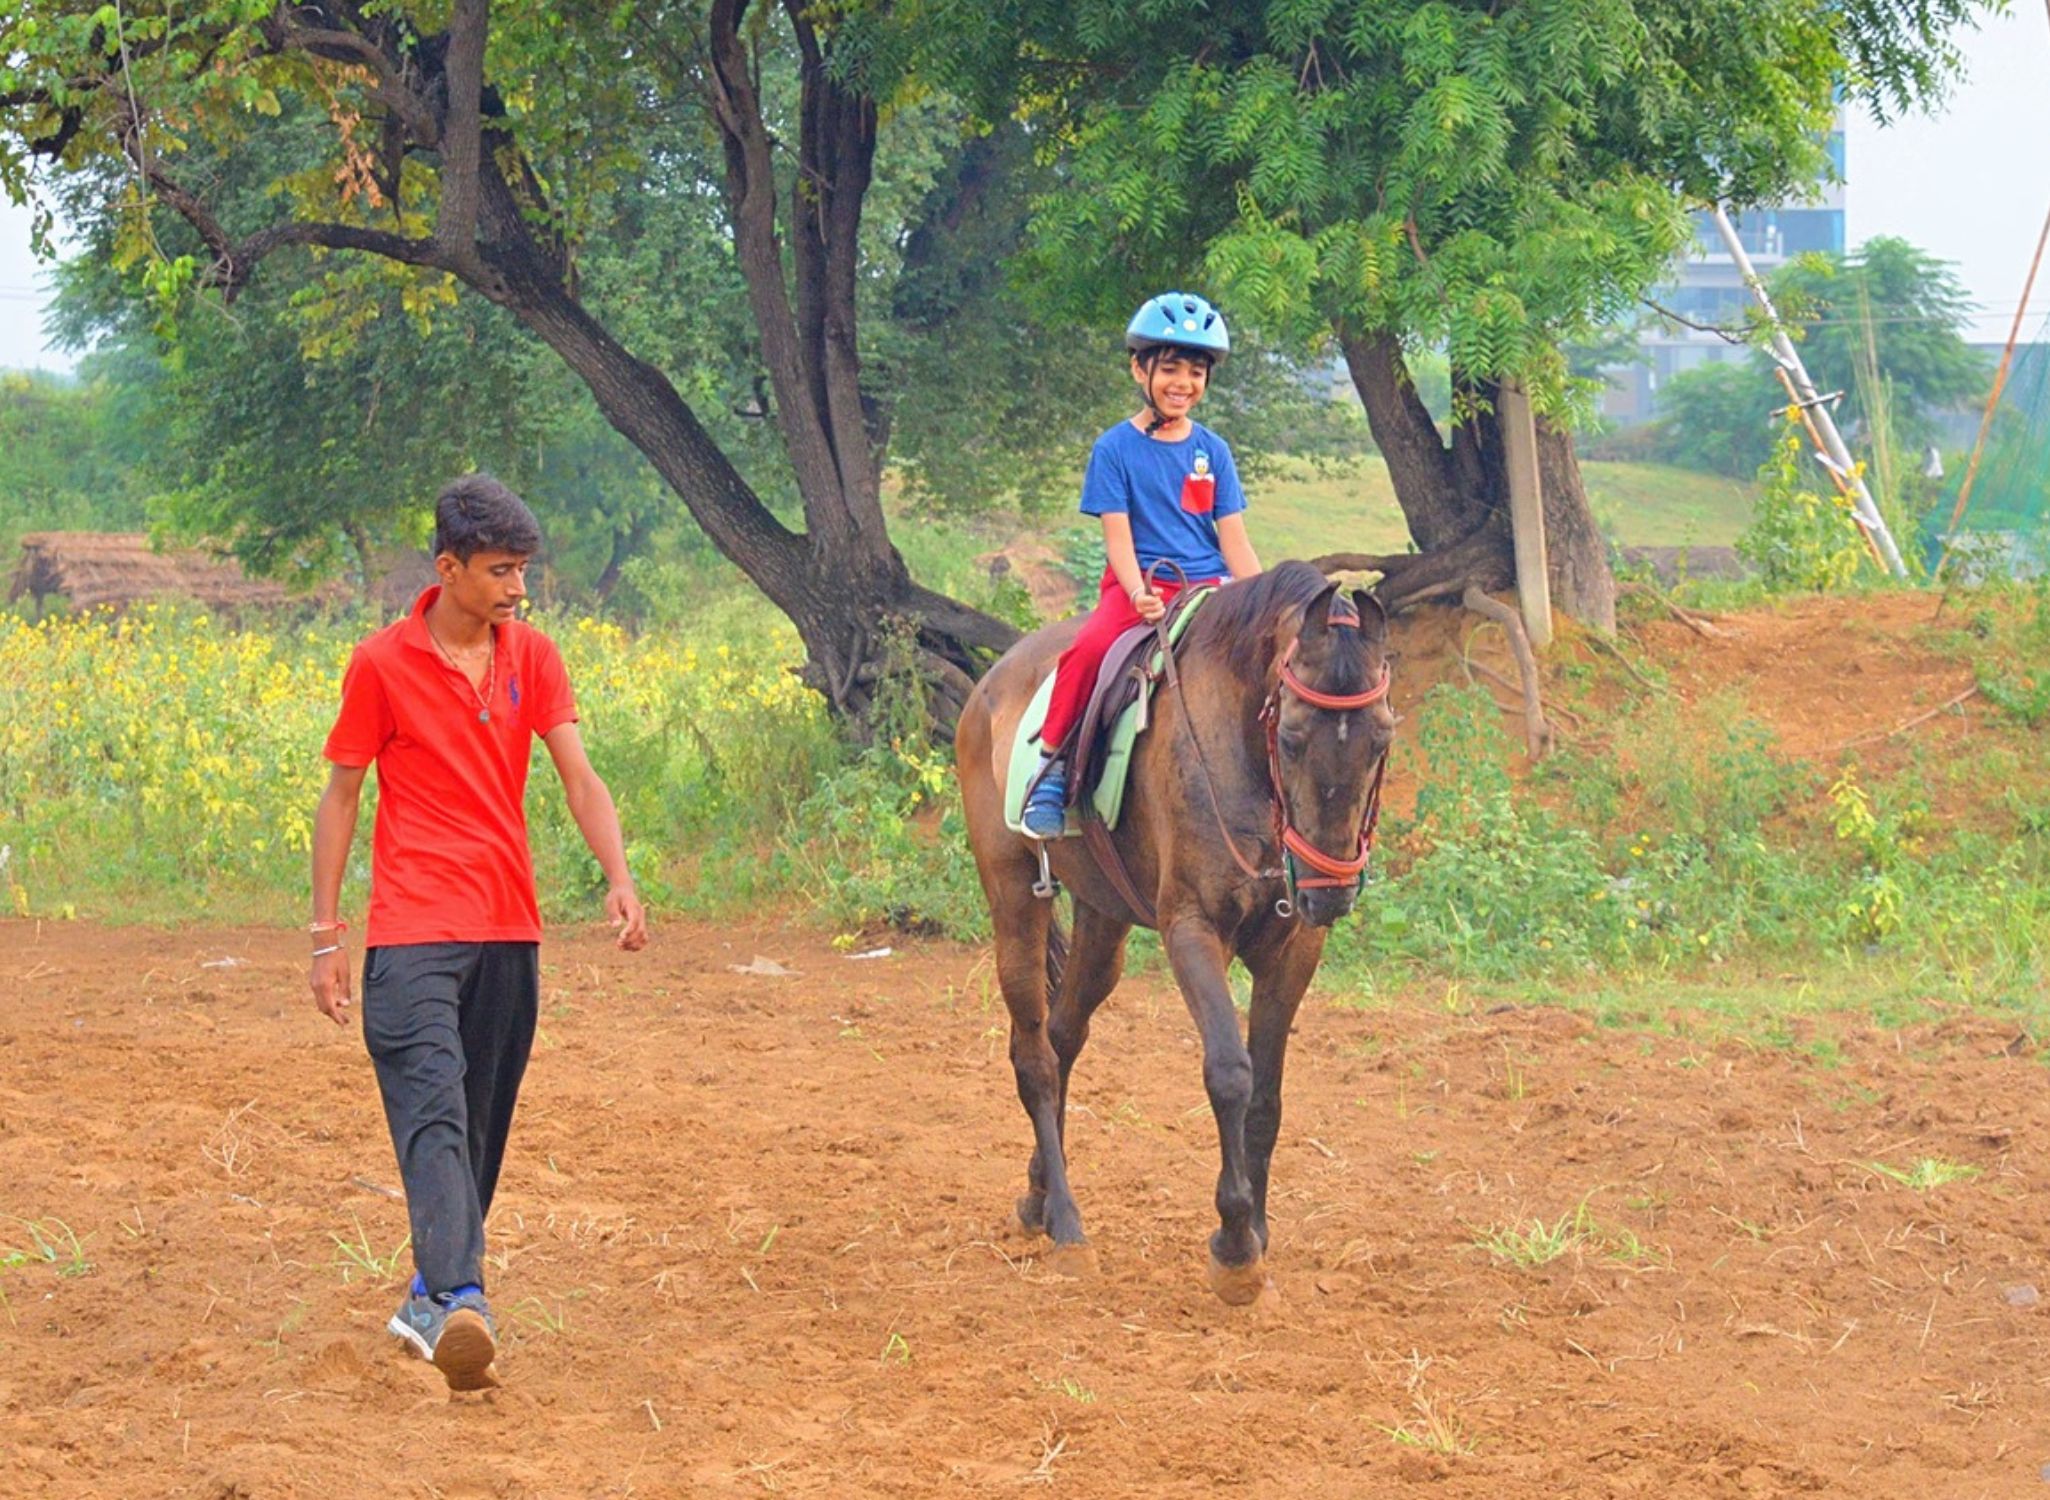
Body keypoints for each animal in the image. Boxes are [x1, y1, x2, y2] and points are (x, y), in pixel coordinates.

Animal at [955, 561, 1402, 1303]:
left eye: (1382, 738)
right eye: (1291, 737)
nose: (1330, 889)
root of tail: (988, 688)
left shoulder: (1294, 949)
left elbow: (1268, 1092)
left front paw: (1259, 1231)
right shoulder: (1191, 929)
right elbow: (1230, 1073)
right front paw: (1234, 1247)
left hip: (1103, 918)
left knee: (1064, 1036)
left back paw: (1039, 1197)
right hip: (1013, 895)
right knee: (1034, 1057)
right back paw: (1068, 1225)